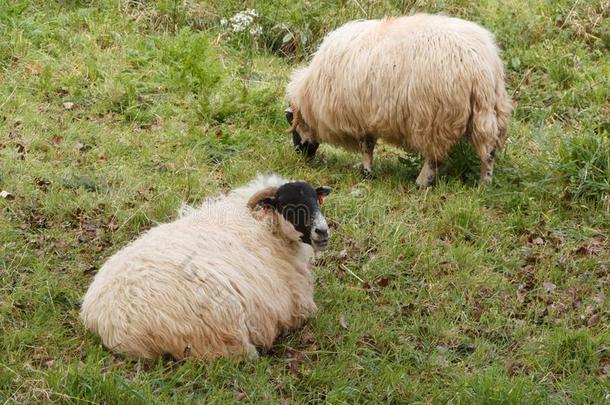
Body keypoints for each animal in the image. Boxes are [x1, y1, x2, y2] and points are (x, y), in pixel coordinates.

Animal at [80, 174, 330, 360]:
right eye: (288, 205)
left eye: (316, 201)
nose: (323, 231)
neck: (264, 226)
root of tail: (111, 326)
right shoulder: (296, 304)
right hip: (221, 326)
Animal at [284, 13, 508, 186]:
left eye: (295, 125)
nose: (300, 156)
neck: (312, 95)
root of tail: (480, 65)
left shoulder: (361, 116)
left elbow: (367, 147)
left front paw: (367, 172)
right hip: (490, 109)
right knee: (489, 151)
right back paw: (484, 184)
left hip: (437, 117)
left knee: (435, 156)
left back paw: (422, 181)